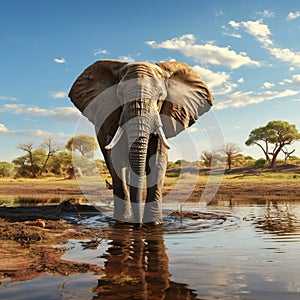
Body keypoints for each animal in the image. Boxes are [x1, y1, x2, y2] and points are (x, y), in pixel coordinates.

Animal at [68, 59, 213, 225]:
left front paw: (154, 224)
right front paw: (124, 222)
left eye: (160, 95)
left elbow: (157, 159)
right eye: (119, 94)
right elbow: (117, 160)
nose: (139, 224)